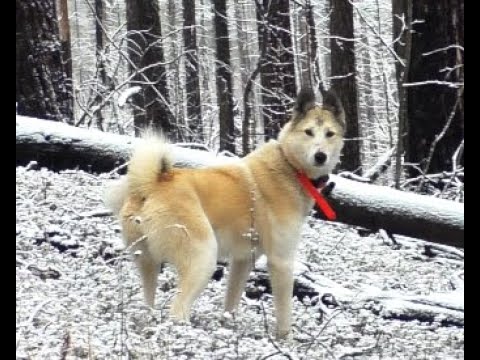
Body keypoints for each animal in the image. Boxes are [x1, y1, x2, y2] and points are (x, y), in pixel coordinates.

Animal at [105, 87, 344, 338]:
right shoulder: (281, 261)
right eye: (308, 132)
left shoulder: (242, 261)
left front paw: (227, 329)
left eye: (330, 134)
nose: (320, 156)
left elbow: (231, 302)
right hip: (203, 259)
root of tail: (149, 184)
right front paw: (285, 342)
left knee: (148, 307)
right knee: (177, 311)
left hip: (149, 266)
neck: (289, 166)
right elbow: (284, 316)